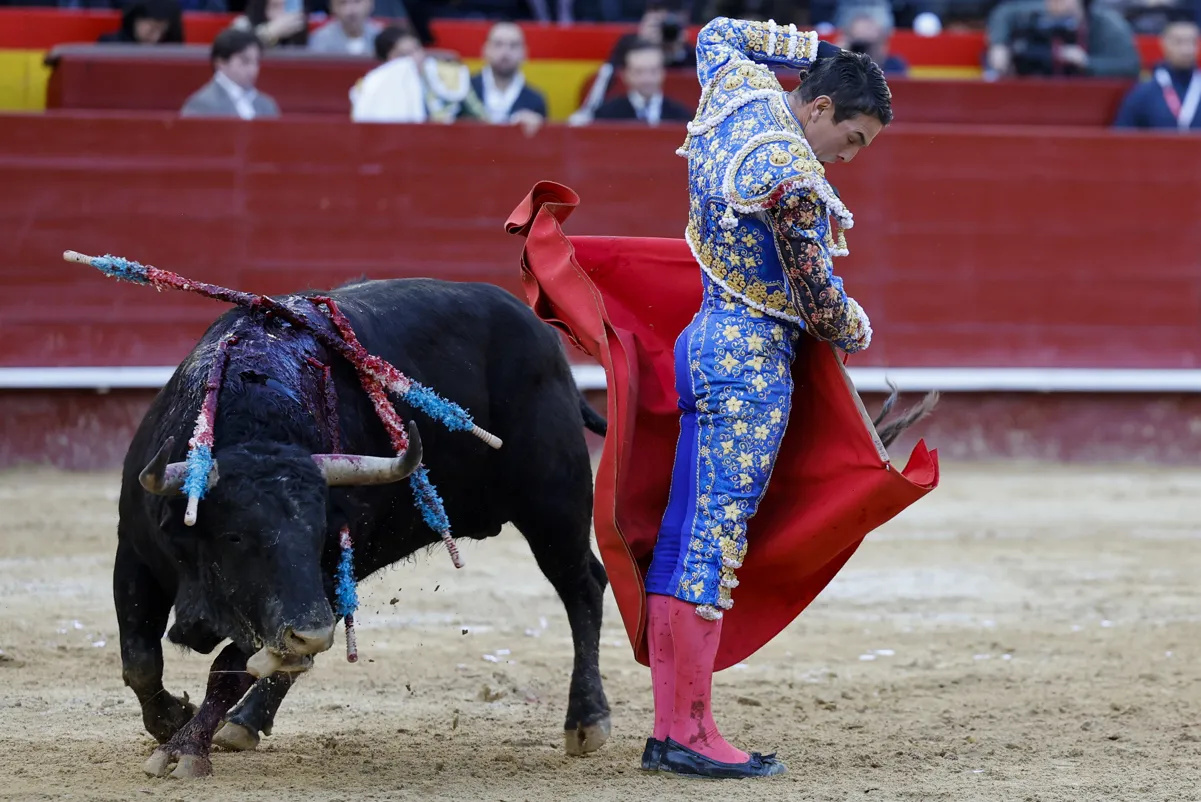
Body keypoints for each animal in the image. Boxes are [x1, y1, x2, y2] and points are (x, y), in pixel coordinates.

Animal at [114, 280, 610, 777]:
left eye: (318, 535)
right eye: (235, 536)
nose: (310, 629)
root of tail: (545, 336)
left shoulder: (315, 581)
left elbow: (229, 669)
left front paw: (184, 747)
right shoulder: (134, 555)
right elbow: (141, 660)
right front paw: (171, 719)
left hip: (554, 508)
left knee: (583, 587)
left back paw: (587, 720)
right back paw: (246, 721)